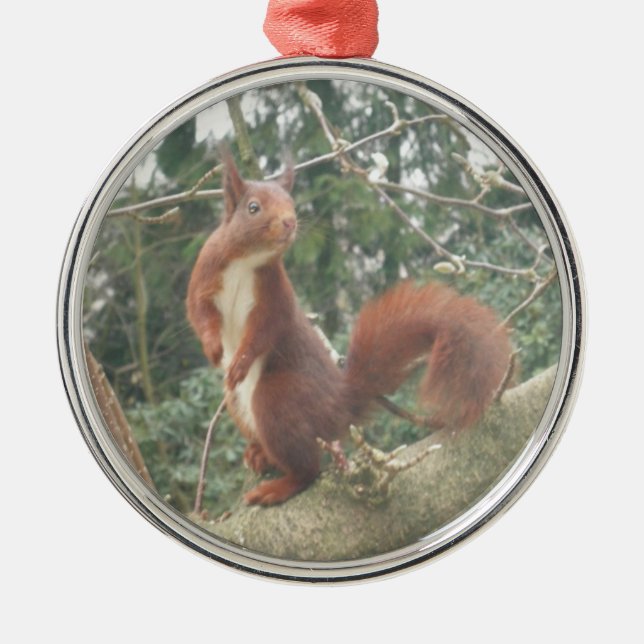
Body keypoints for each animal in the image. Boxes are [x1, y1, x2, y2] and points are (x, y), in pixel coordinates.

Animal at [187, 152, 512, 506]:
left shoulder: (274, 298)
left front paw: (240, 361)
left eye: (291, 202)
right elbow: (199, 314)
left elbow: (264, 331)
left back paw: (276, 488)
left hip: (278, 399)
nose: (289, 222)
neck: (247, 261)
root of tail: (338, 405)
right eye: (253, 207)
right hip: (239, 403)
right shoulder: (205, 276)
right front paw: (213, 349)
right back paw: (259, 454)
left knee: (308, 470)